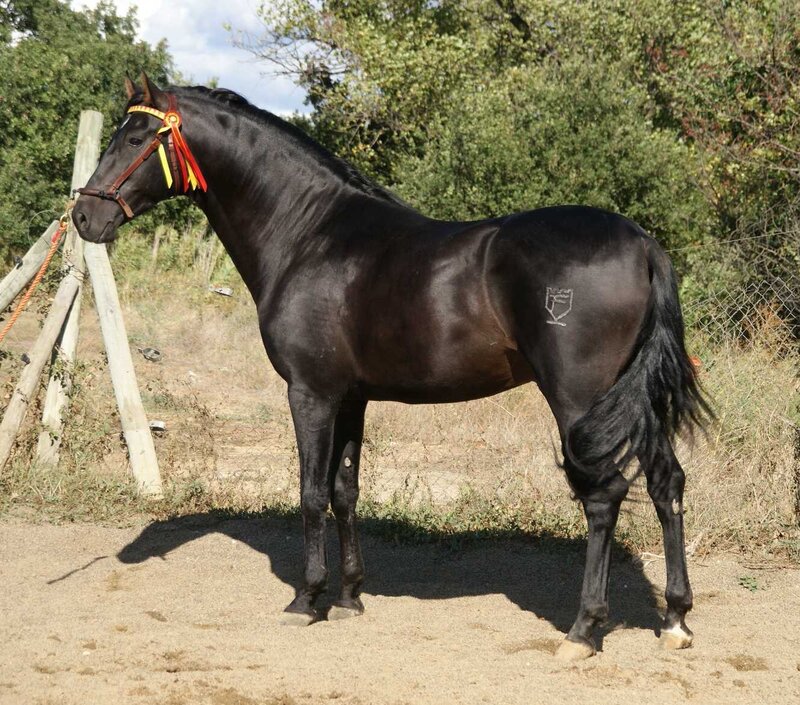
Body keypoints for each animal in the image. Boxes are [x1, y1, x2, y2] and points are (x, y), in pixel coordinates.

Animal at [73, 73, 708, 661]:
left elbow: (310, 491)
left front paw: (307, 599)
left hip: (581, 401)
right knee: (666, 482)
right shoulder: (351, 396)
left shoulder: (310, 393)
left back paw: (584, 630)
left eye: (135, 138)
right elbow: (345, 490)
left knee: (604, 497)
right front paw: (350, 597)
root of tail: (643, 243)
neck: (307, 234)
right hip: (631, 401)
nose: (83, 216)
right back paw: (675, 619)